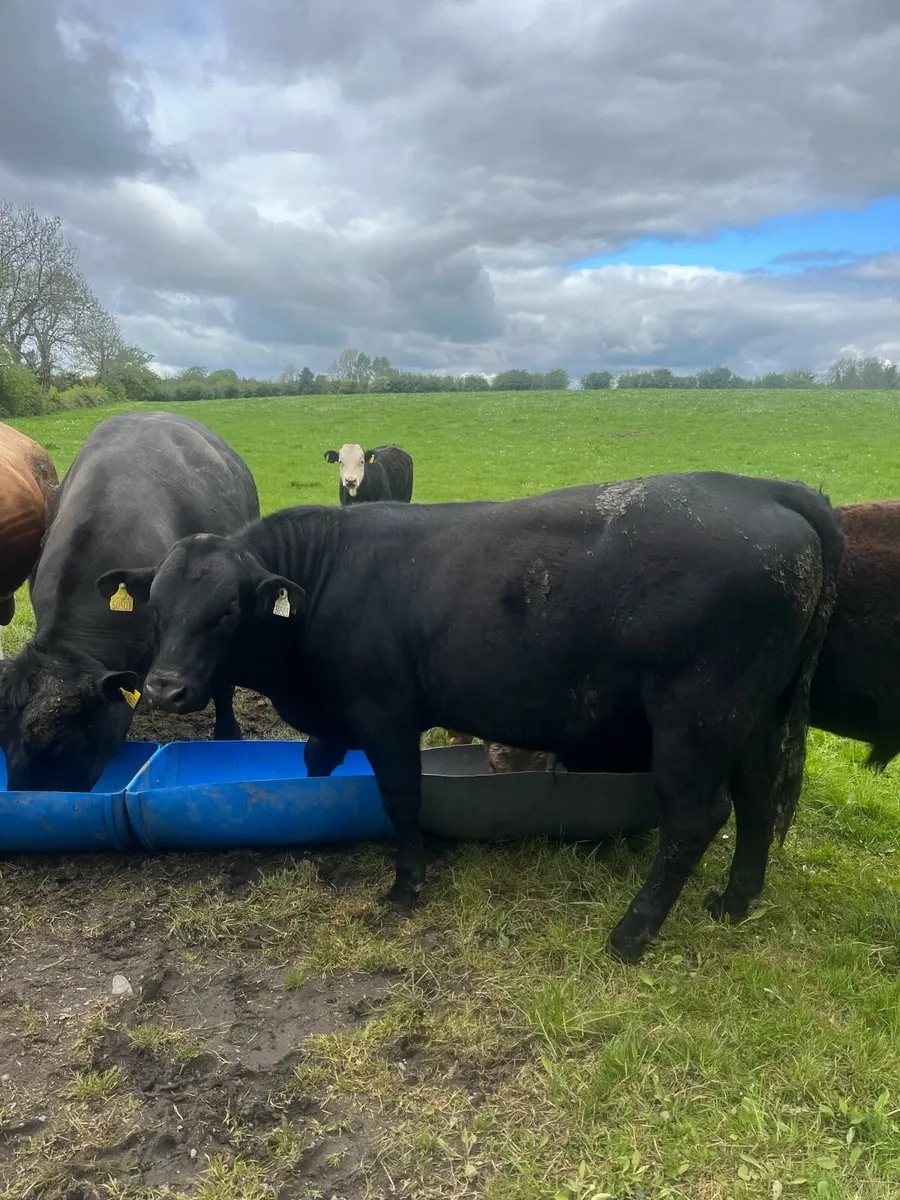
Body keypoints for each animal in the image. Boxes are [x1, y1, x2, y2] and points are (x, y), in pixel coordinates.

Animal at [99, 471, 843, 963]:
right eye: (155, 605)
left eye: (227, 610)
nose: (164, 689)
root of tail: (761, 487)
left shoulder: (386, 714)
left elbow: (402, 798)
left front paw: (406, 887)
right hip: (752, 713)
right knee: (756, 799)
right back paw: (734, 903)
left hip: (695, 714)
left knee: (696, 816)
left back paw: (631, 934)